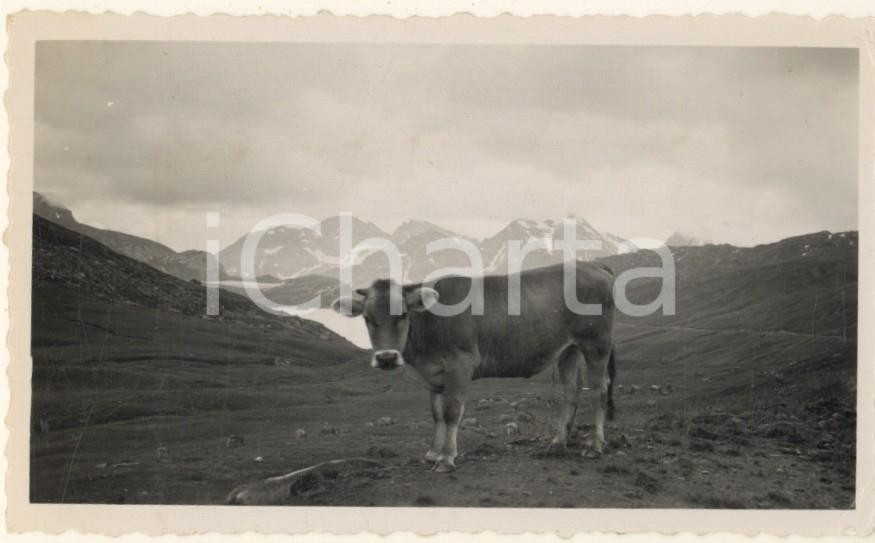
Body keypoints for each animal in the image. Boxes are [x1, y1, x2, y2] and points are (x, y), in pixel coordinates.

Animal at [331, 261, 616, 473]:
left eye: (401, 315)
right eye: (367, 318)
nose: (387, 358)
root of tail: (593, 264)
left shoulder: (460, 364)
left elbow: (451, 412)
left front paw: (446, 459)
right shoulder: (434, 373)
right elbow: (435, 413)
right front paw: (432, 453)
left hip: (597, 343)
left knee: (600, 390)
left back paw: (595, 446)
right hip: (568, 349)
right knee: (572, 391)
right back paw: (558, 442)